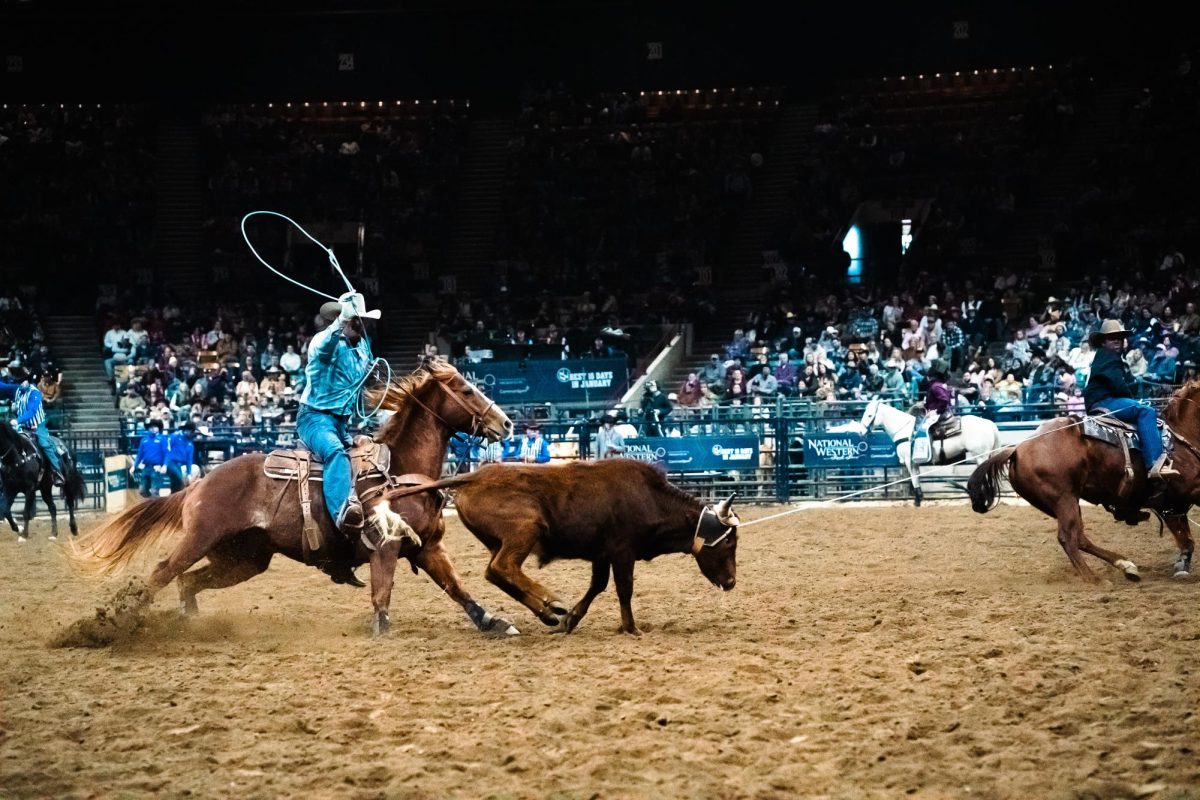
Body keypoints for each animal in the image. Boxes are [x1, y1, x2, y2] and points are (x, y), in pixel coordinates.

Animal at [65, 359, 516, 633]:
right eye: (466, 390)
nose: (507, 423)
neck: (398, 469)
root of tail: (199, 484)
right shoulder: (385, 546)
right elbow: (382, 592)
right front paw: (381, 629)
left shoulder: (427, 548)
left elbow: (458, 588)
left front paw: (493, 621)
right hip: (200, 539)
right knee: (163, 572)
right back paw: (118, 625)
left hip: (244, 559)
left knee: (188, 582)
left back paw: (189, 623)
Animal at [388, 460, 739, 633]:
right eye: (729, 542)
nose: (732, 581)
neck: (649, 497)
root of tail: (471, 477)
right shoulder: (622, 551)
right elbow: (623, 588)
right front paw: (631, 628)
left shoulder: (602, 554)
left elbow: (598, 586)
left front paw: (572, 619)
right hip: (524, 529)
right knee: (503, 568)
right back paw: (550, 602)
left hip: (501, 540)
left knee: (495, 573)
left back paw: (548, 612)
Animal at [864, 398, 1003, 506]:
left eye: (869, 415)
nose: (861, 431)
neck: (904, 430)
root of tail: (989, 424)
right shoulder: (915, 462)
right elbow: (917, 477)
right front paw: (920, 498)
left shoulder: (909, 460)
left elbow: (913, 478)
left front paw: (917, 501)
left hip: (981, 457)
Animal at [964, 381, 1200, 582]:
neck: (1180, 438)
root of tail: (1017, 448)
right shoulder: (1189, 492)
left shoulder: (1171, 506)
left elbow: (1186, 541)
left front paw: (1182, 567)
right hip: (1064, 498)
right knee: (1068, 537)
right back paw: (1093, 579)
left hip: (1059, 503)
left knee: (1080, 537)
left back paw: (1125, 565)